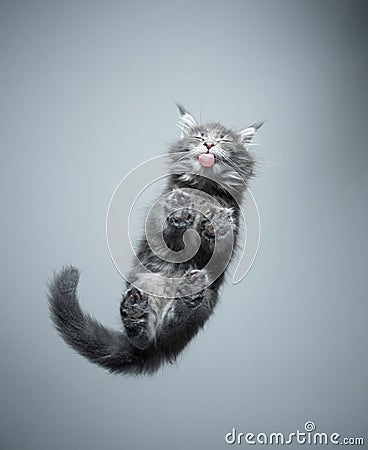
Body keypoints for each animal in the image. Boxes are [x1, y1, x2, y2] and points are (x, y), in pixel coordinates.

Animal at [48, 103, 262, 374]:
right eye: (199, 137)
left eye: (223, 140)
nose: (209, 145)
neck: (203, 187)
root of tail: (155, 351)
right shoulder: (160, 226)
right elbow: (170, 231)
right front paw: (180, 210)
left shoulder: (225, 241)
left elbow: (215, 239)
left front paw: (216, 222)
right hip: (145, 282)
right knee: (143, 335)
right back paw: (134, 314)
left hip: (205, 299)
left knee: (172, 323)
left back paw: (183, 294)